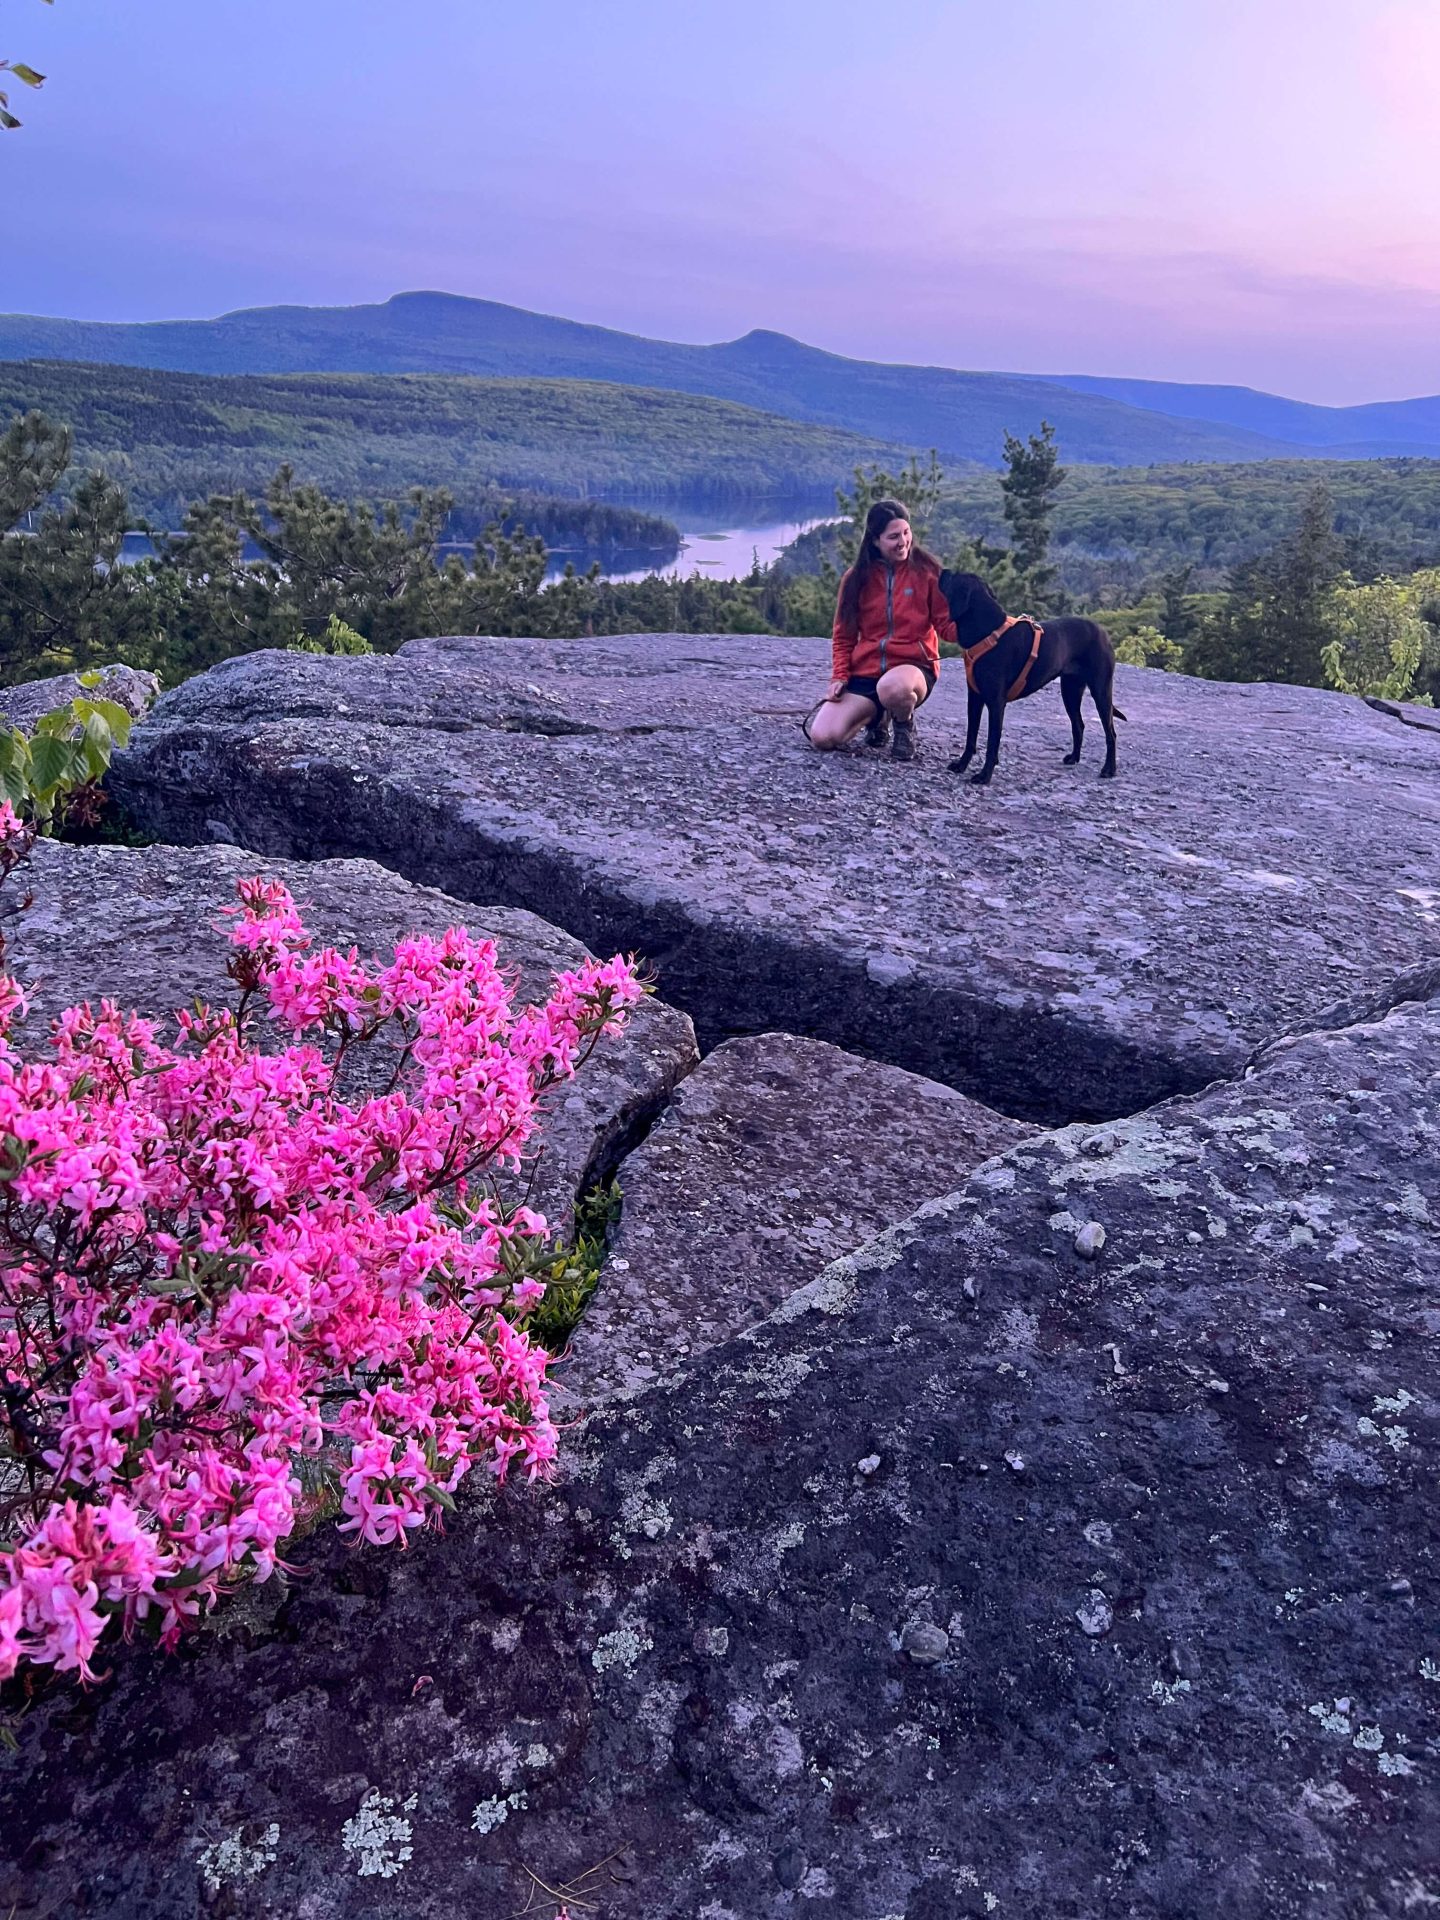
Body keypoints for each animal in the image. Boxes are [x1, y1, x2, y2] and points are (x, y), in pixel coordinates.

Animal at [940, 564, 1136, 783]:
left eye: (954, 577)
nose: (943, 570)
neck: (988, 632)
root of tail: (1103, 633)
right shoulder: (974, 698)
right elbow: (970, 737)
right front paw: (961, 765)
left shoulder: (996, 703)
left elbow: (992, 743)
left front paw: (984, 775)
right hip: (1070, 691)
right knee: (1079, 725)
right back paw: (1074, 757)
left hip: (1101, 690)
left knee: (1111, 733)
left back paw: (1109, 769)